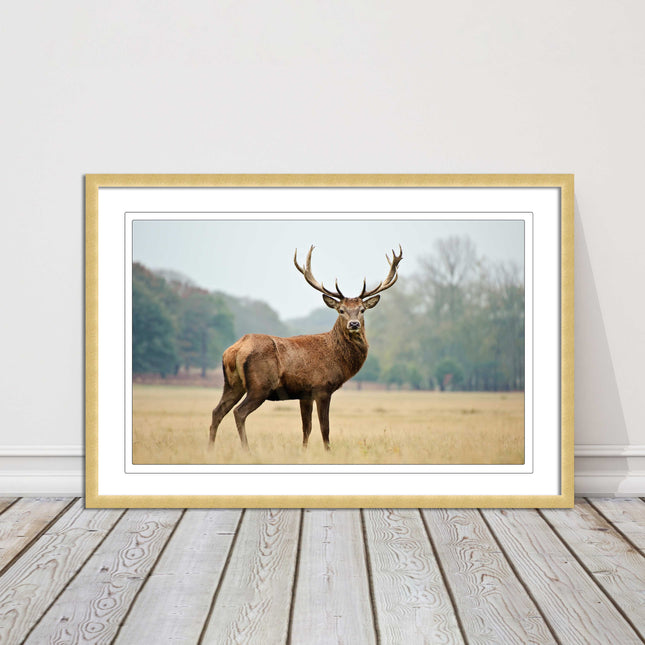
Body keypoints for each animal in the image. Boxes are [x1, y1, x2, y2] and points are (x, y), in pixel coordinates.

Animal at [208, 245, 403, 451]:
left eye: (362, 310)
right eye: (341, 310)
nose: (354, 324)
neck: (337, 357)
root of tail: (235, 350)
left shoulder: (305, 394)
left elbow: (306, 428)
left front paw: (304, 451)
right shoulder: (322, 387)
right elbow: (325, 427)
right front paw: (328, 451)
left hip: (232, 383)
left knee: (217, 411)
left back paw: (210, 448)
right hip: (260, 385)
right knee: (239, 412)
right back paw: (246, 449)